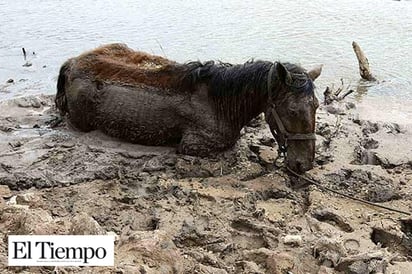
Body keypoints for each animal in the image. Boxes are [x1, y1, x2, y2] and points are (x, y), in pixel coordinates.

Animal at [55, 43, 318, 172]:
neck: (220, 102)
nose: (303, 165)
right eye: (292, 111)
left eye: (316, 106)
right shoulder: (193, 145)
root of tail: (72, 62)